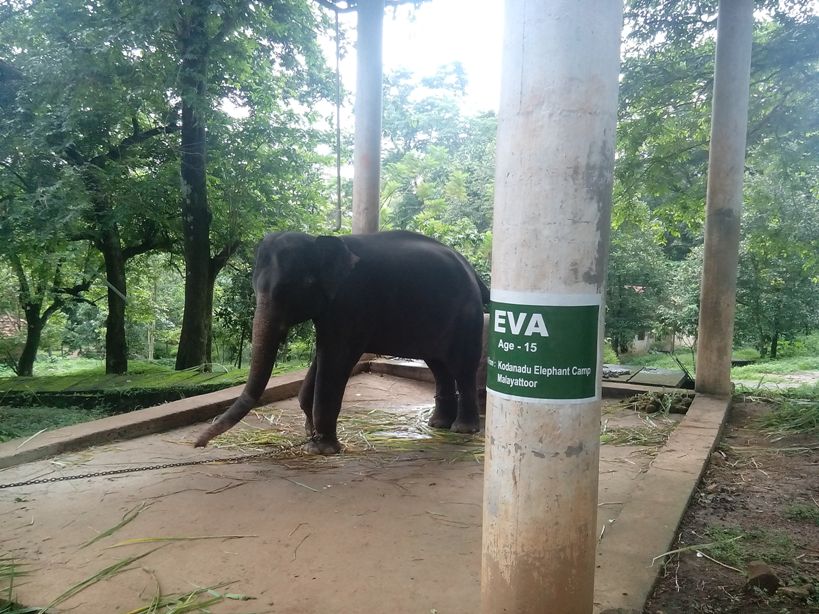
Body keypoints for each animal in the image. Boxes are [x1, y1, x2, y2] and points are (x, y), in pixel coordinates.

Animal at [195, 231, 490, 458]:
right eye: (255, 287)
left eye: (295, 287)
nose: (199, 444)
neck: (319, 241)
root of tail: (473, 271)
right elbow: (321, 356)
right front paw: (310, 434)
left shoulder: (351, 302)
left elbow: (337, 357)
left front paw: (321, 449)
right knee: (438, 365)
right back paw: (438, 425)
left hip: (468, 315)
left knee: (462, 366)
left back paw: (462, 430)